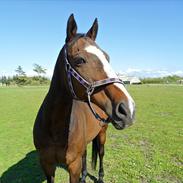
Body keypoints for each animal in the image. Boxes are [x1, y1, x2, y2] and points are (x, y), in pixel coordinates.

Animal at [33, 13, 135, 183]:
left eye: (107, 57)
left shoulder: (73, 166)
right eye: (80, 60)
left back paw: (100, 177)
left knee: (101, 153)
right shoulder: (46, 164)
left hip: (102, 133)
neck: (55, 128)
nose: (128, 109)